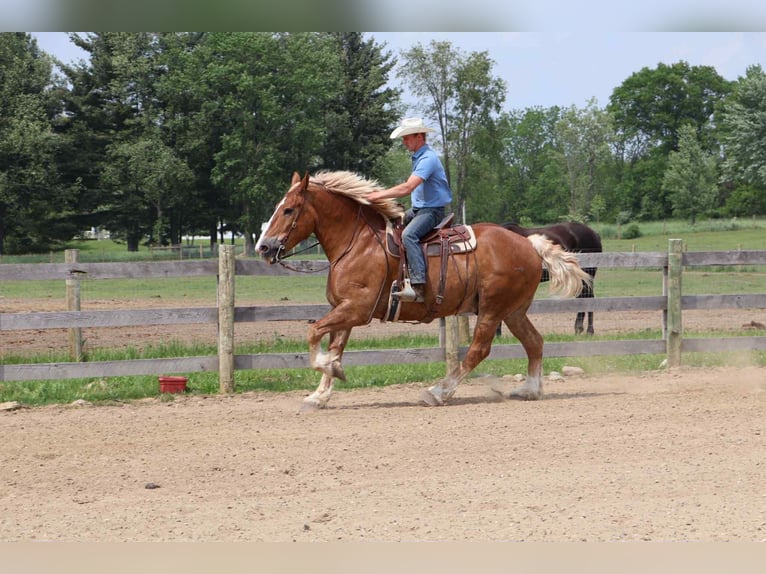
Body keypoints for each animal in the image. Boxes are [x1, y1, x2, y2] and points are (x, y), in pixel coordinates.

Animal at [255, 171, 591, 410]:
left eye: (288, 210)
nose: (264, 247)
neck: (358, 243)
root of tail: (529, 243)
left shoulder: (357, 309)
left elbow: (314, 334)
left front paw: (329, 370)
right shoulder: (344, 310)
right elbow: (334, 347)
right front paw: (320, 393)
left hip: (492, 310)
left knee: (478, 350)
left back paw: (438, 391)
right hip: (513, 311)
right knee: (534, 342)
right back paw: (529, 389)